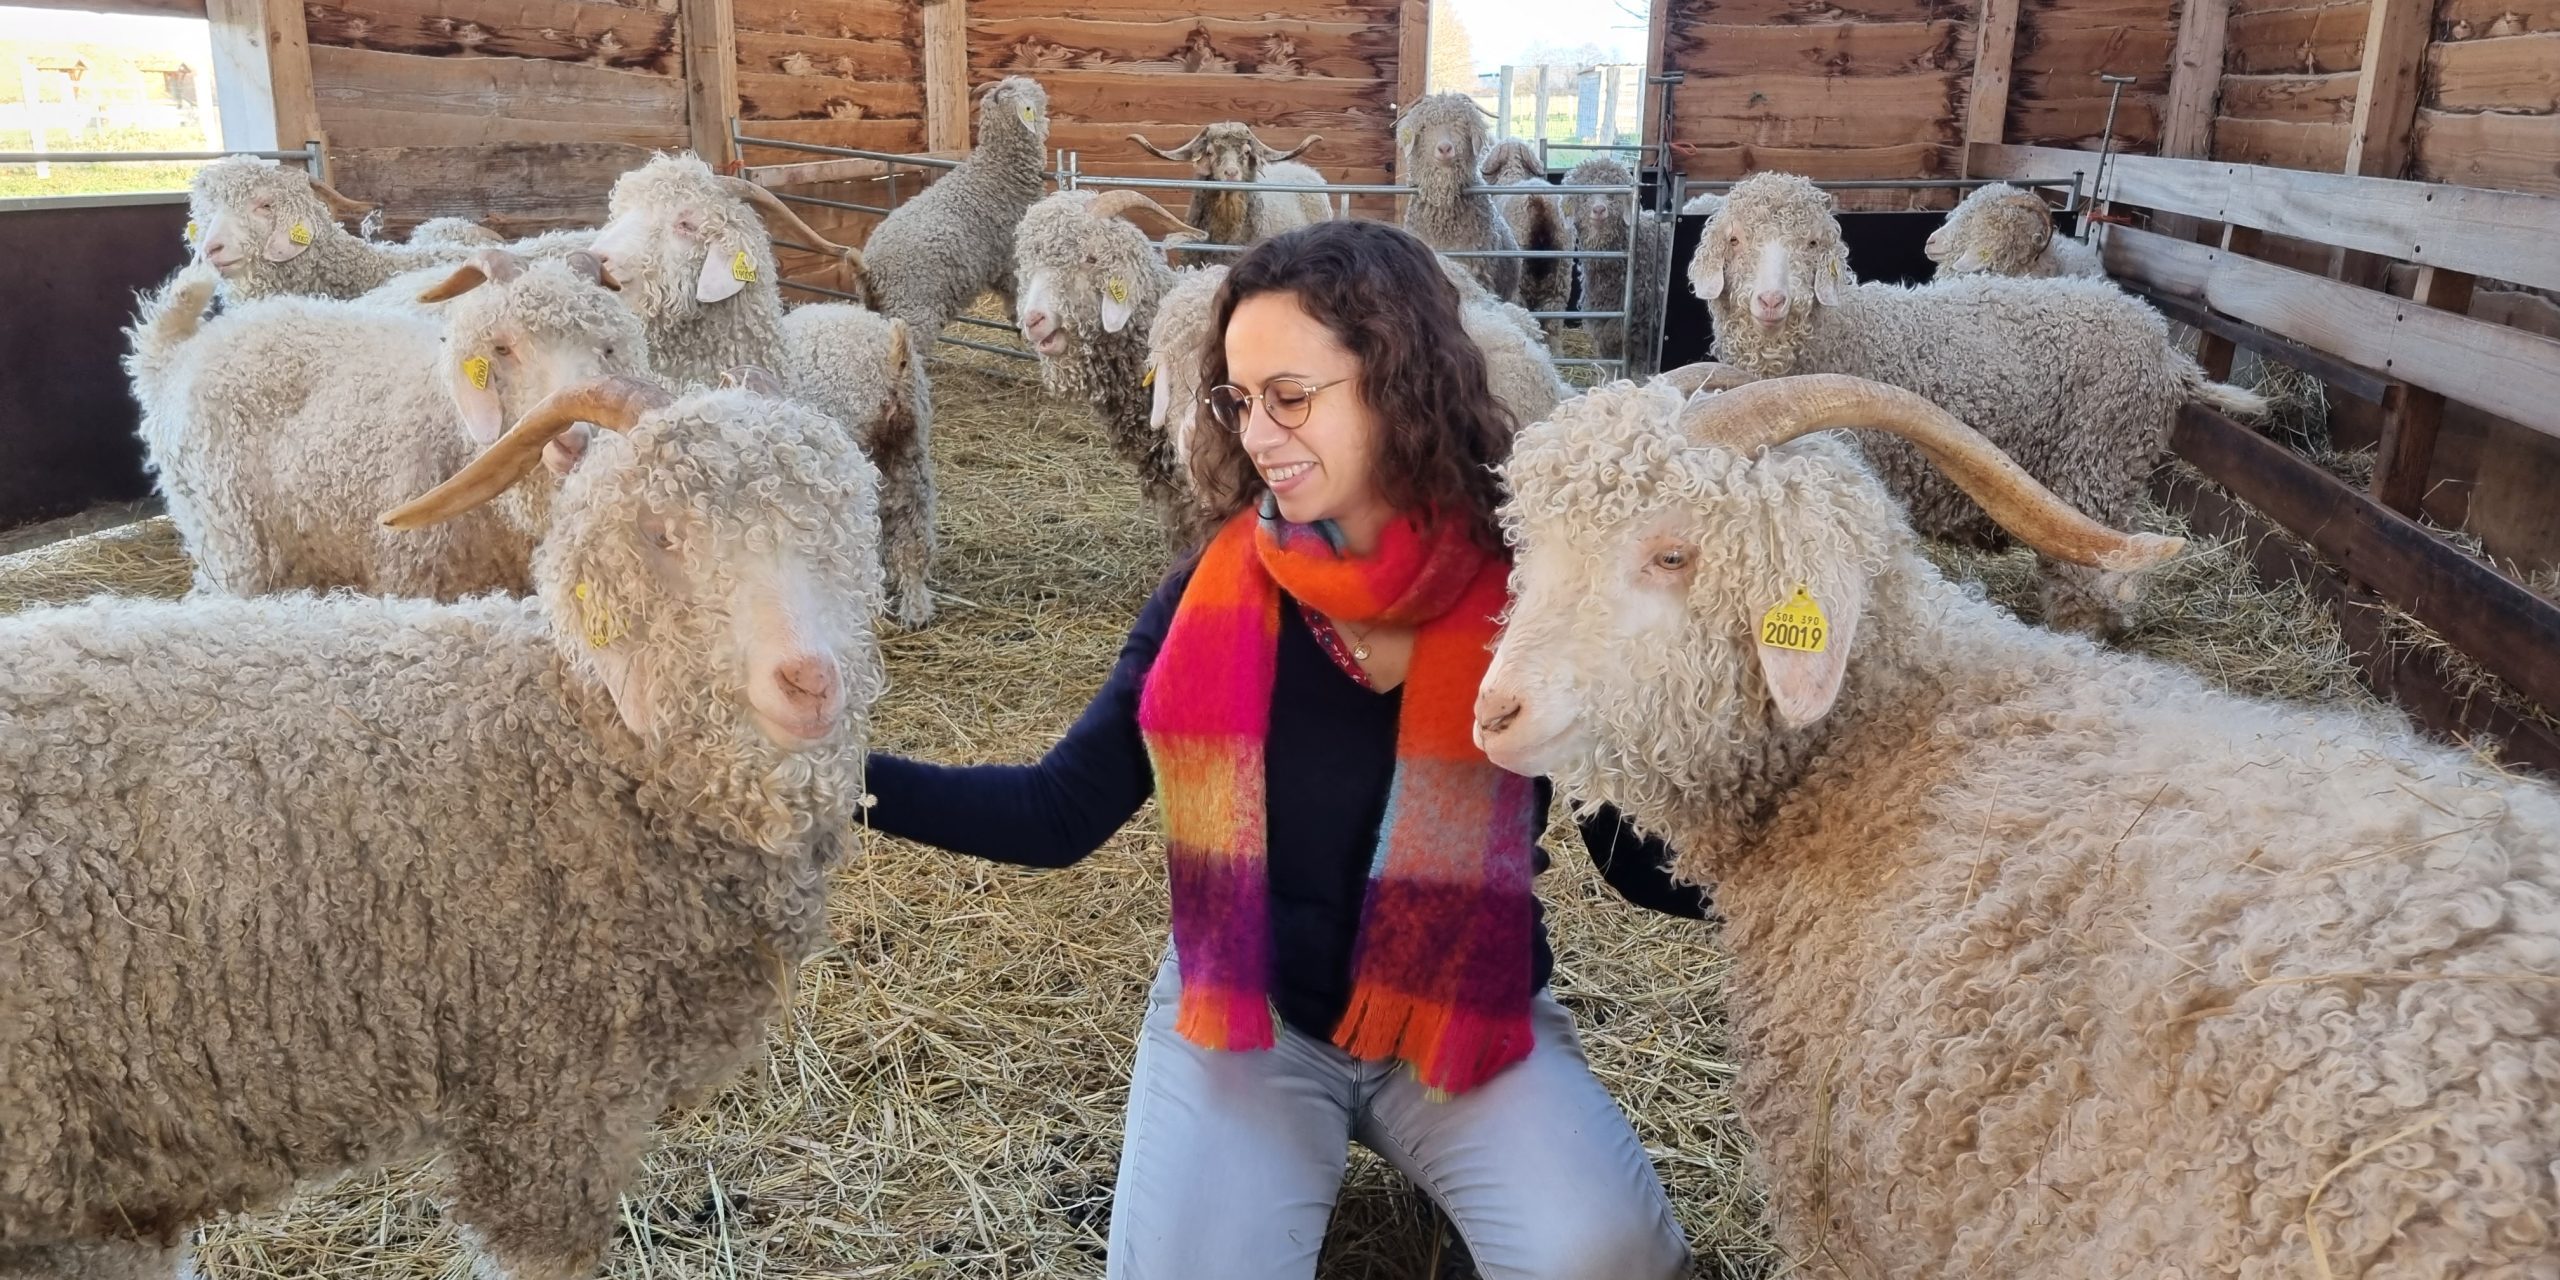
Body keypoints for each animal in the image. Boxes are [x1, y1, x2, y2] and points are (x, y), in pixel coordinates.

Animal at [121, 249, 650, 600]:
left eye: (607, 348)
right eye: (502, 348)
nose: (575, 441)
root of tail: (176, 355)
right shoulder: (411, 575)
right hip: (226, 537)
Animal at [586, 154, 937, 625]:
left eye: (686, 222)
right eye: (619, 209)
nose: (597, 259)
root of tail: (866, 318)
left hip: (908, 441)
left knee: (910, 518)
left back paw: (915, 603)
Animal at [1687, 172, 2268, 635]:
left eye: (1810, 242)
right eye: (1736, 239)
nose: (1772, 301)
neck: (1839, 332)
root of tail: (2163, 345)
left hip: (2097, 462)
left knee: (2088, 568)